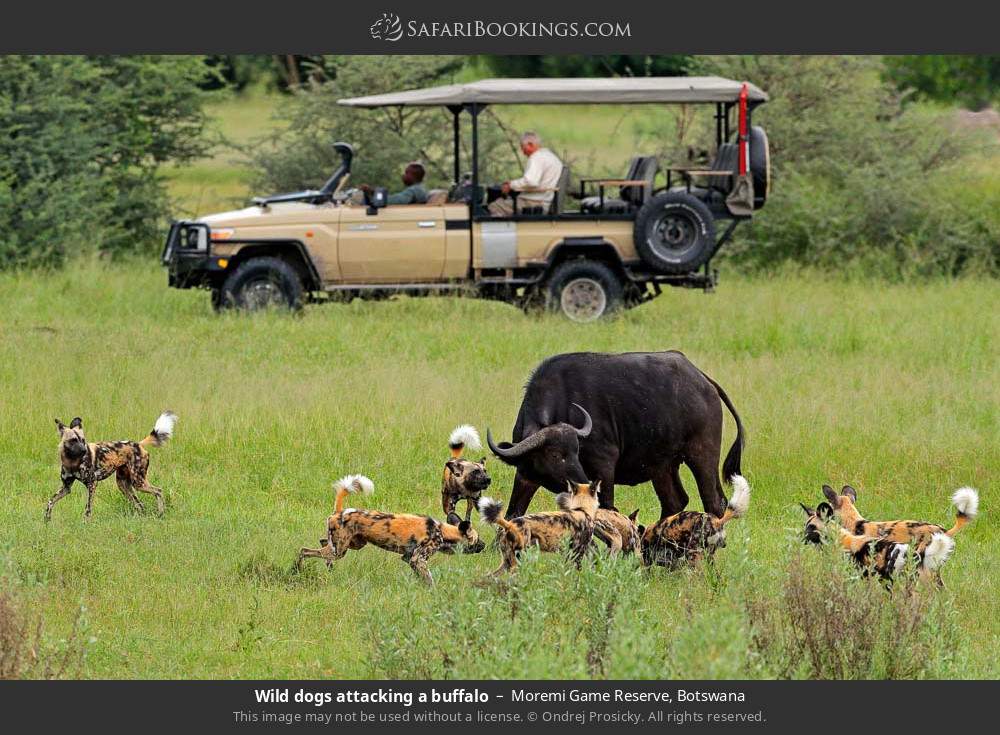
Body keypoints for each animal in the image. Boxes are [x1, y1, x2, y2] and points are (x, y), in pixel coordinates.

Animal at [45, 412, 178, 520]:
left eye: (83, 440)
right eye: (73, 440)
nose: (84, 450)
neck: (72, 461)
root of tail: (138, 444)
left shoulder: (92, 484)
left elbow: (88, 508)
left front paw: (85, 523)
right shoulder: (66, 487)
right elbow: (50, 501)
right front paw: (47, 519)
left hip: (138, 483)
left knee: (158, 491)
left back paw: (160, 514)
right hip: (123, 485)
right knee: (140, 504)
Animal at [296, 478, 480, 588]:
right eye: (477, 540)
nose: (484, 546)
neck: (442, 531)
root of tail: (340, 511)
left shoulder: (409, 559)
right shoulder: (418, 559)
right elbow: (429, 579)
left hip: (352, 545)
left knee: (322, 543)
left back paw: (328, 567)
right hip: (340, 550)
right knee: (304, 550)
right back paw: (297, 570)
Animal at [484, 352, 744, 520]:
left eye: (576, 451)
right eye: (556, 454)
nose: (581, 481)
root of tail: (703, 380)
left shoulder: (604, 467)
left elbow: (606, 508)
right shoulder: (525, 475)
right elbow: (513, 512)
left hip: (702, 455)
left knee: (715, 502)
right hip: (662, 466)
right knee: (675, 501)